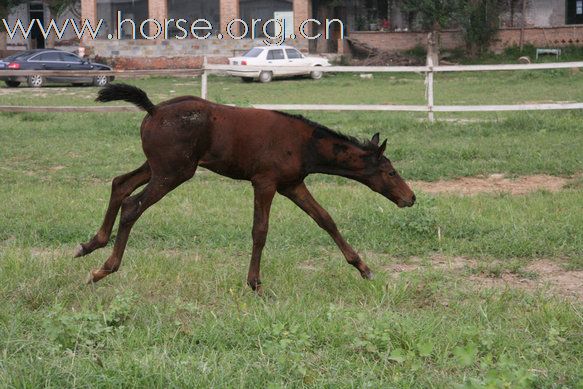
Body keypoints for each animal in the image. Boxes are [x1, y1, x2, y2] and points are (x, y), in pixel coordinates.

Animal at [77, 84, 416, 292]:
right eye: (391, 171)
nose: (410, 198)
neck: (303, 144)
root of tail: (153, 109)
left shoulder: (292, 185)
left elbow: (325, 220)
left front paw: (363, 268)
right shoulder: (265, 182)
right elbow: (260, 230)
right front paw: (255, 283)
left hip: (158, 167)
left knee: (120, 184)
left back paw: (91, 244)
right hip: (173, 173)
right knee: (132, 205)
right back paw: (103, 269)